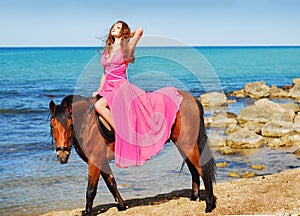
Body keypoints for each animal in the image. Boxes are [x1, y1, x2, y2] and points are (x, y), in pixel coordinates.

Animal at [49, 92, 217, 215]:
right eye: (52, 126)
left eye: (70, 125)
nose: (62, 156)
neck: (89, 124)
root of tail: (192, 99)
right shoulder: (101, 161)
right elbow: (111, 183)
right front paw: (122, 206)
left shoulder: (94, 161)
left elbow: (91, 190)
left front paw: (88, 212)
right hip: (184, 144)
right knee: (193, 169)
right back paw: (194, 197)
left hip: (187, 143)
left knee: (201, 169)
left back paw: (209, 204)